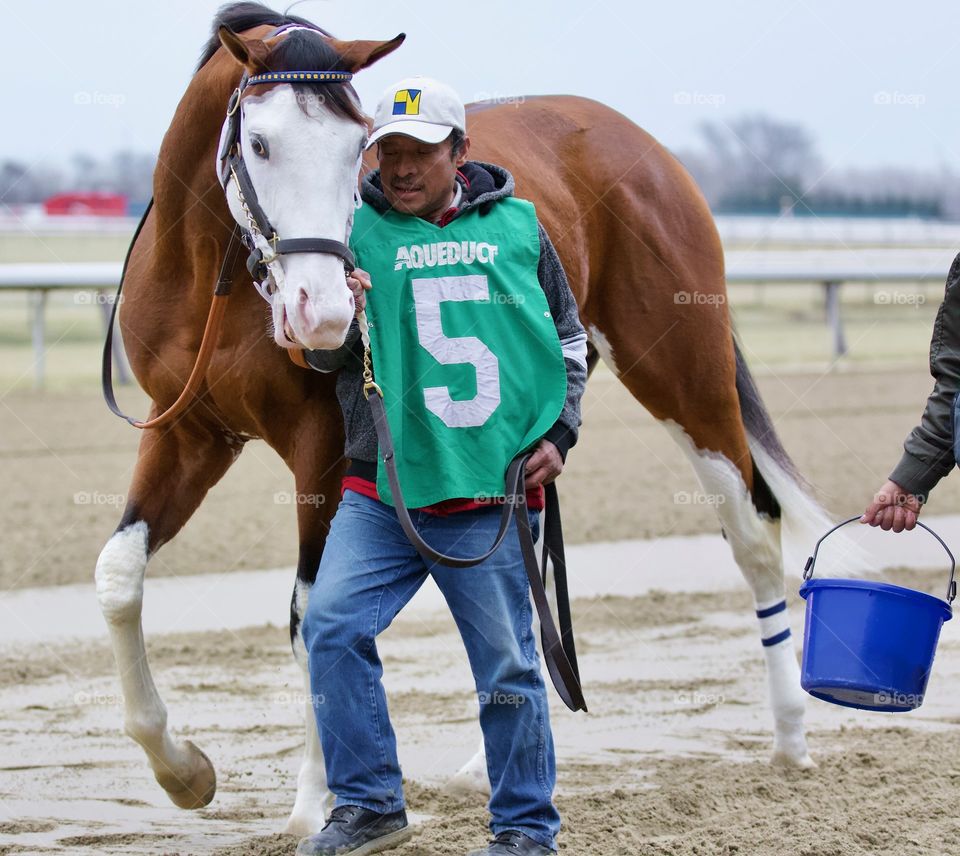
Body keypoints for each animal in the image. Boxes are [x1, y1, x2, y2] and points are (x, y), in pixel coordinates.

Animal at [97, 0, 832, 836]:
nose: (325, 312)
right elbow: (119, 576)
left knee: (753, 530)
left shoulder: (325, 447)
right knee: (520, 559)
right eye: (259, 143)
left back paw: (790, 739)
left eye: (354, 146)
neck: (215, 284)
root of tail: (640, 146)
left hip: (686, 376)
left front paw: (316, 804)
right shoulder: (186, 432)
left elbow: (312, 614)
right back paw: (491, 763)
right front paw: (182, 771)